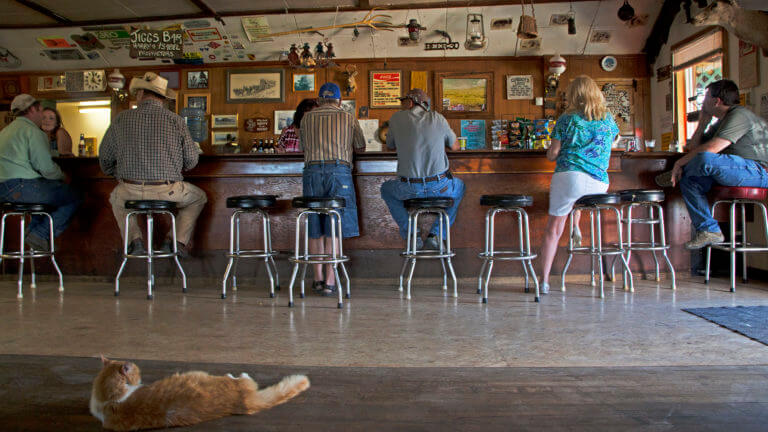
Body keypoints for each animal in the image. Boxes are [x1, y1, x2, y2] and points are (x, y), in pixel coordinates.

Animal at [88, 356, 308, 430]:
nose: (141, 378)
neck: (108, 398)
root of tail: (244, 401)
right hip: (233, 382)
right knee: (242, 378)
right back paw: (235, 374)